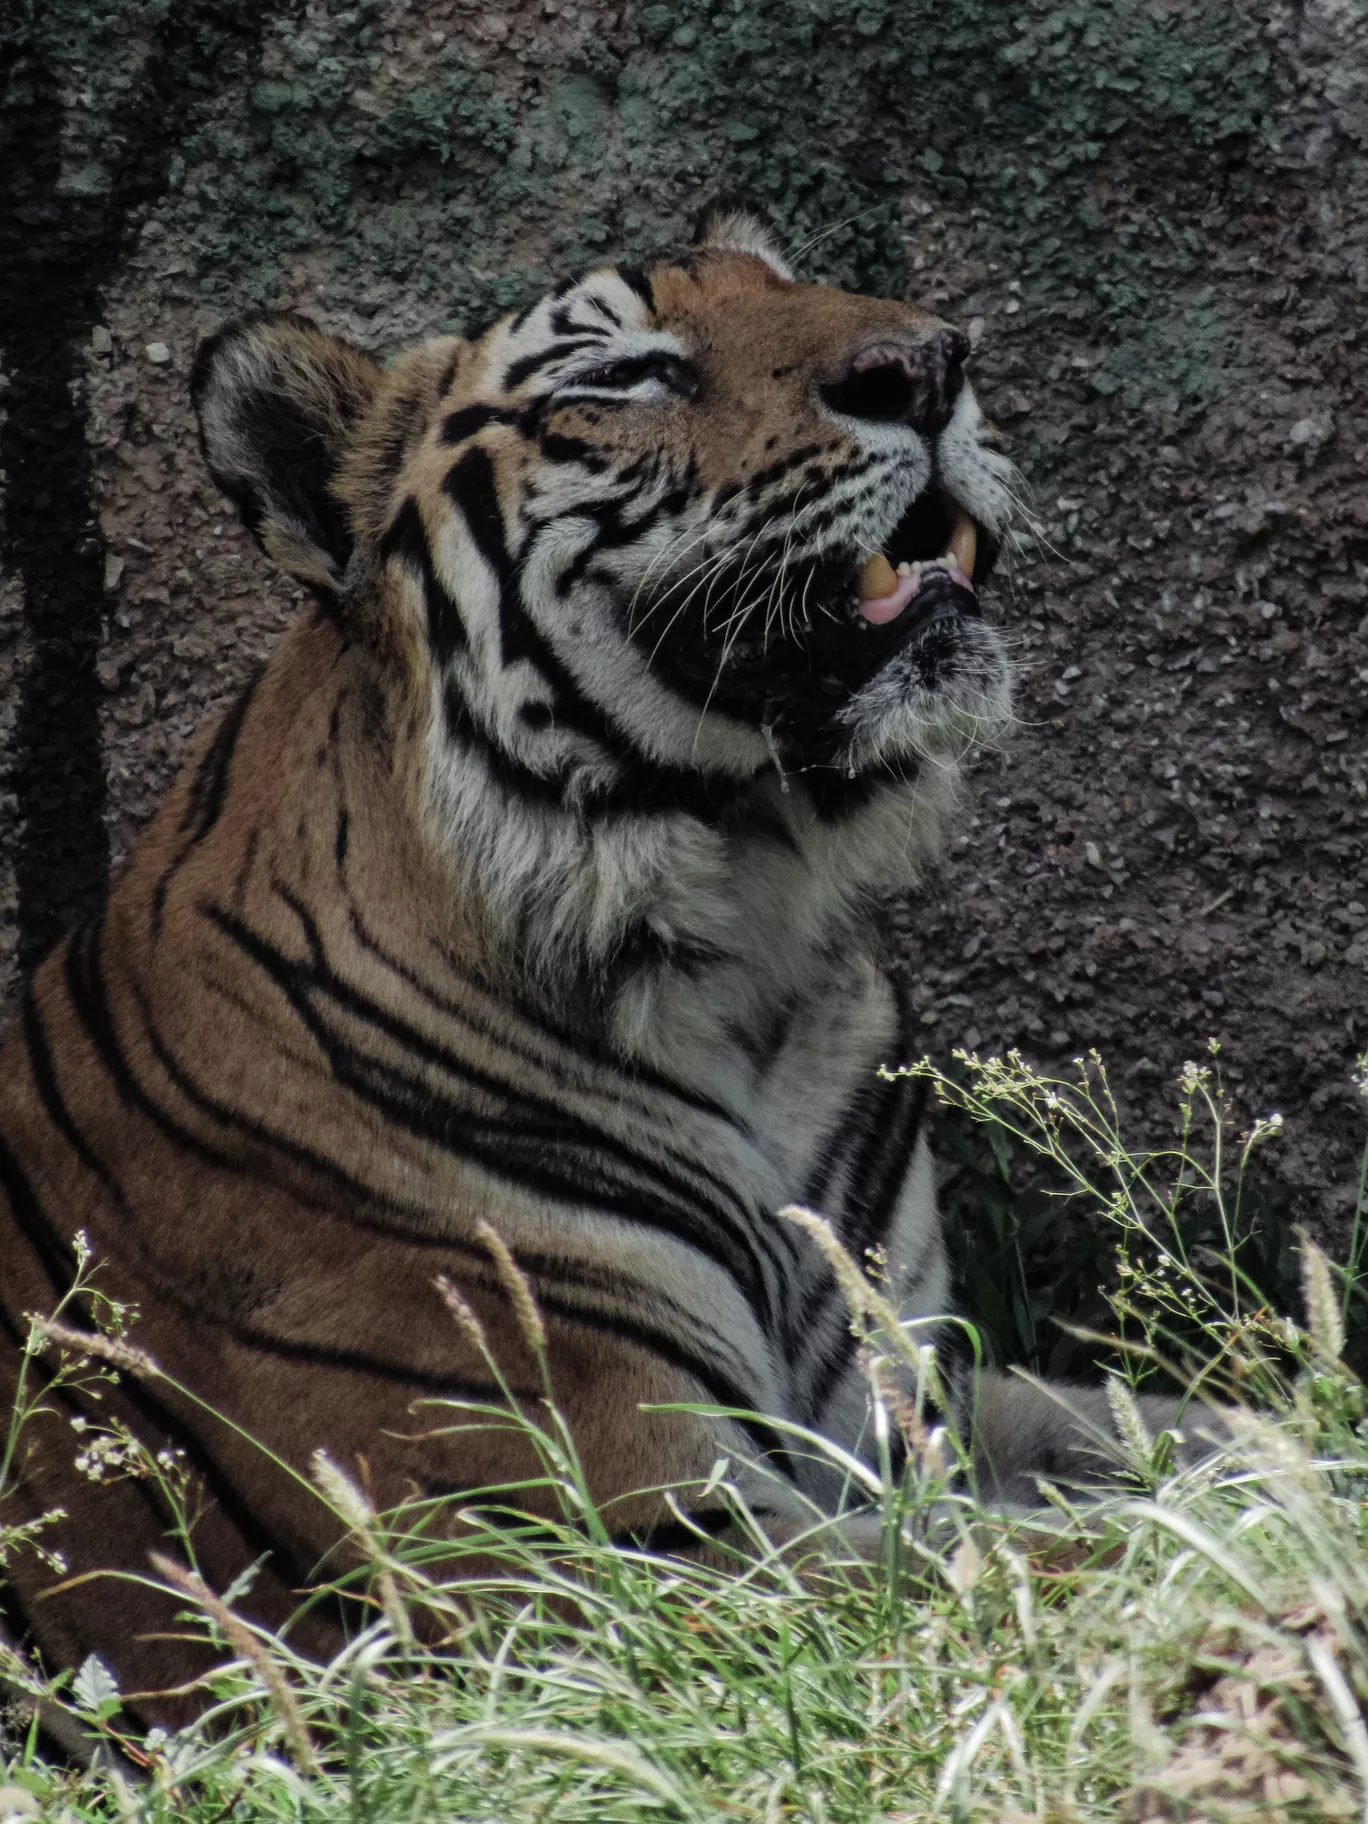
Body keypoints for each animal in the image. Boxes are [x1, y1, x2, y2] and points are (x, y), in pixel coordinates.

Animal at [0, 207, 1189, 1714]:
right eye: (629, 374)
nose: (930, 365)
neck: (749, 941)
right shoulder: (626, 1534)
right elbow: (1084, 1554)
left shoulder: (920, 1399)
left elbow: (1198, 1424)